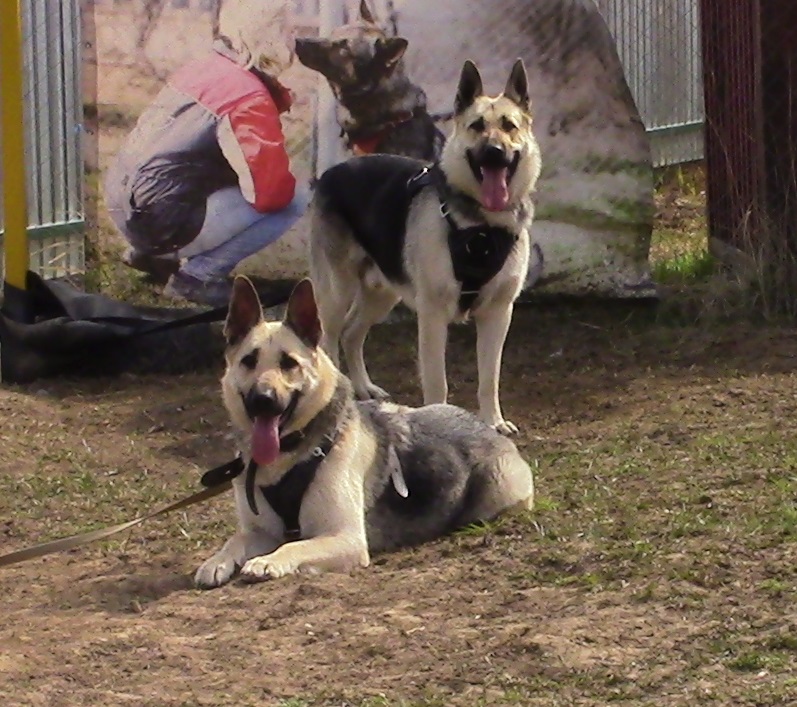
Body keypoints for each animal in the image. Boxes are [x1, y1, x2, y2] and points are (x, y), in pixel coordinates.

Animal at [191, 280, 536, 588]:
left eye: (289, 363)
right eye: (249, 361)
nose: (262, 399)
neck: (291, 455)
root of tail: (483, 425)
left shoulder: (347, 539)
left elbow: (294, 544)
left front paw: (268, 561)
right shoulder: (259, 531)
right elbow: (236, 539)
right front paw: (216, 561)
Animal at [304, 59, 540, 436]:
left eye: (509, 126)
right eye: (476, 126)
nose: (494, 153)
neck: (481, 225)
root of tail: (330, 173)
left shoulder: (498, 314)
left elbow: (489, 377)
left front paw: (493, 421)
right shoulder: (432, 315)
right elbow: (436, 380)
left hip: (382, 293)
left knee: (353, 334)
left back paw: (364, 387)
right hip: (336, 292)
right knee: (329, 342)